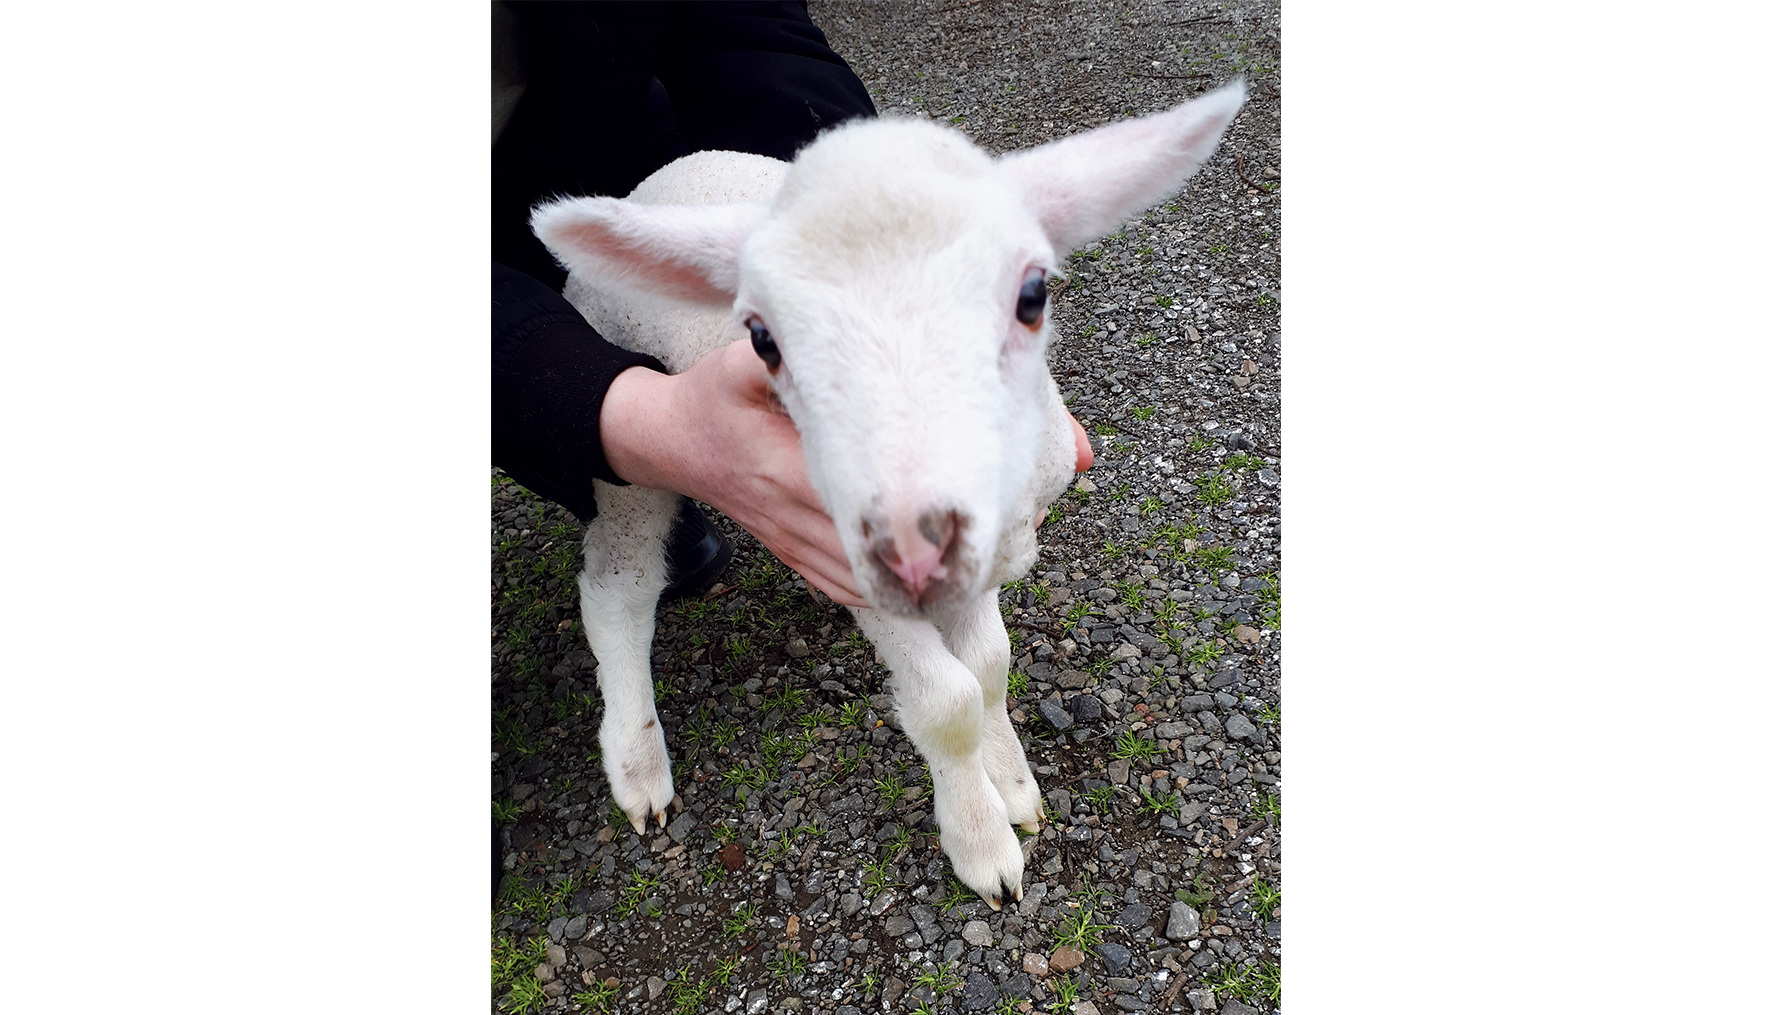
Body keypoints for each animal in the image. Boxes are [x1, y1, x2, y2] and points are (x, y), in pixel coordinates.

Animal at [529, 82, 1245, 907]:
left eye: (1033, 294)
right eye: (762, 339)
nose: (911, 543)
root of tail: (656, 180)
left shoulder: (984, 546)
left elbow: (990, 667)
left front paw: (1012, 783)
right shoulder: (850, 561)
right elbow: (948, 702)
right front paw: (982, 841)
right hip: (629, 441)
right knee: (619, 586)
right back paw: (639, 763)